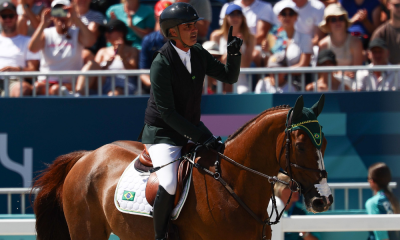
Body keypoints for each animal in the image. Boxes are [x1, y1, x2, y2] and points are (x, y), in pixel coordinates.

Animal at [31, 94, 332, 239]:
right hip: (86, 231)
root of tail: (87, 156)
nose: (323, 199)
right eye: (301, 145)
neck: (233, 186)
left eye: (325, 143)